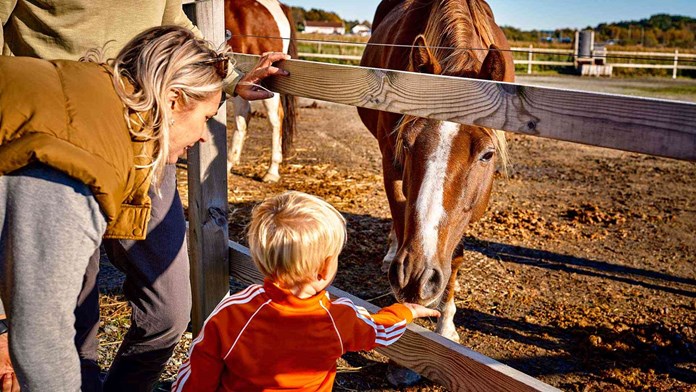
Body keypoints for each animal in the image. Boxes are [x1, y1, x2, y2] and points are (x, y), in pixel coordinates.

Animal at [358, 0, 516, 344]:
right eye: (407, 143)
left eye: (487, 154)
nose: (417, 276)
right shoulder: (391, 163)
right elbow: (400, 215)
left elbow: (455, 256)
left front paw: (445, 324)